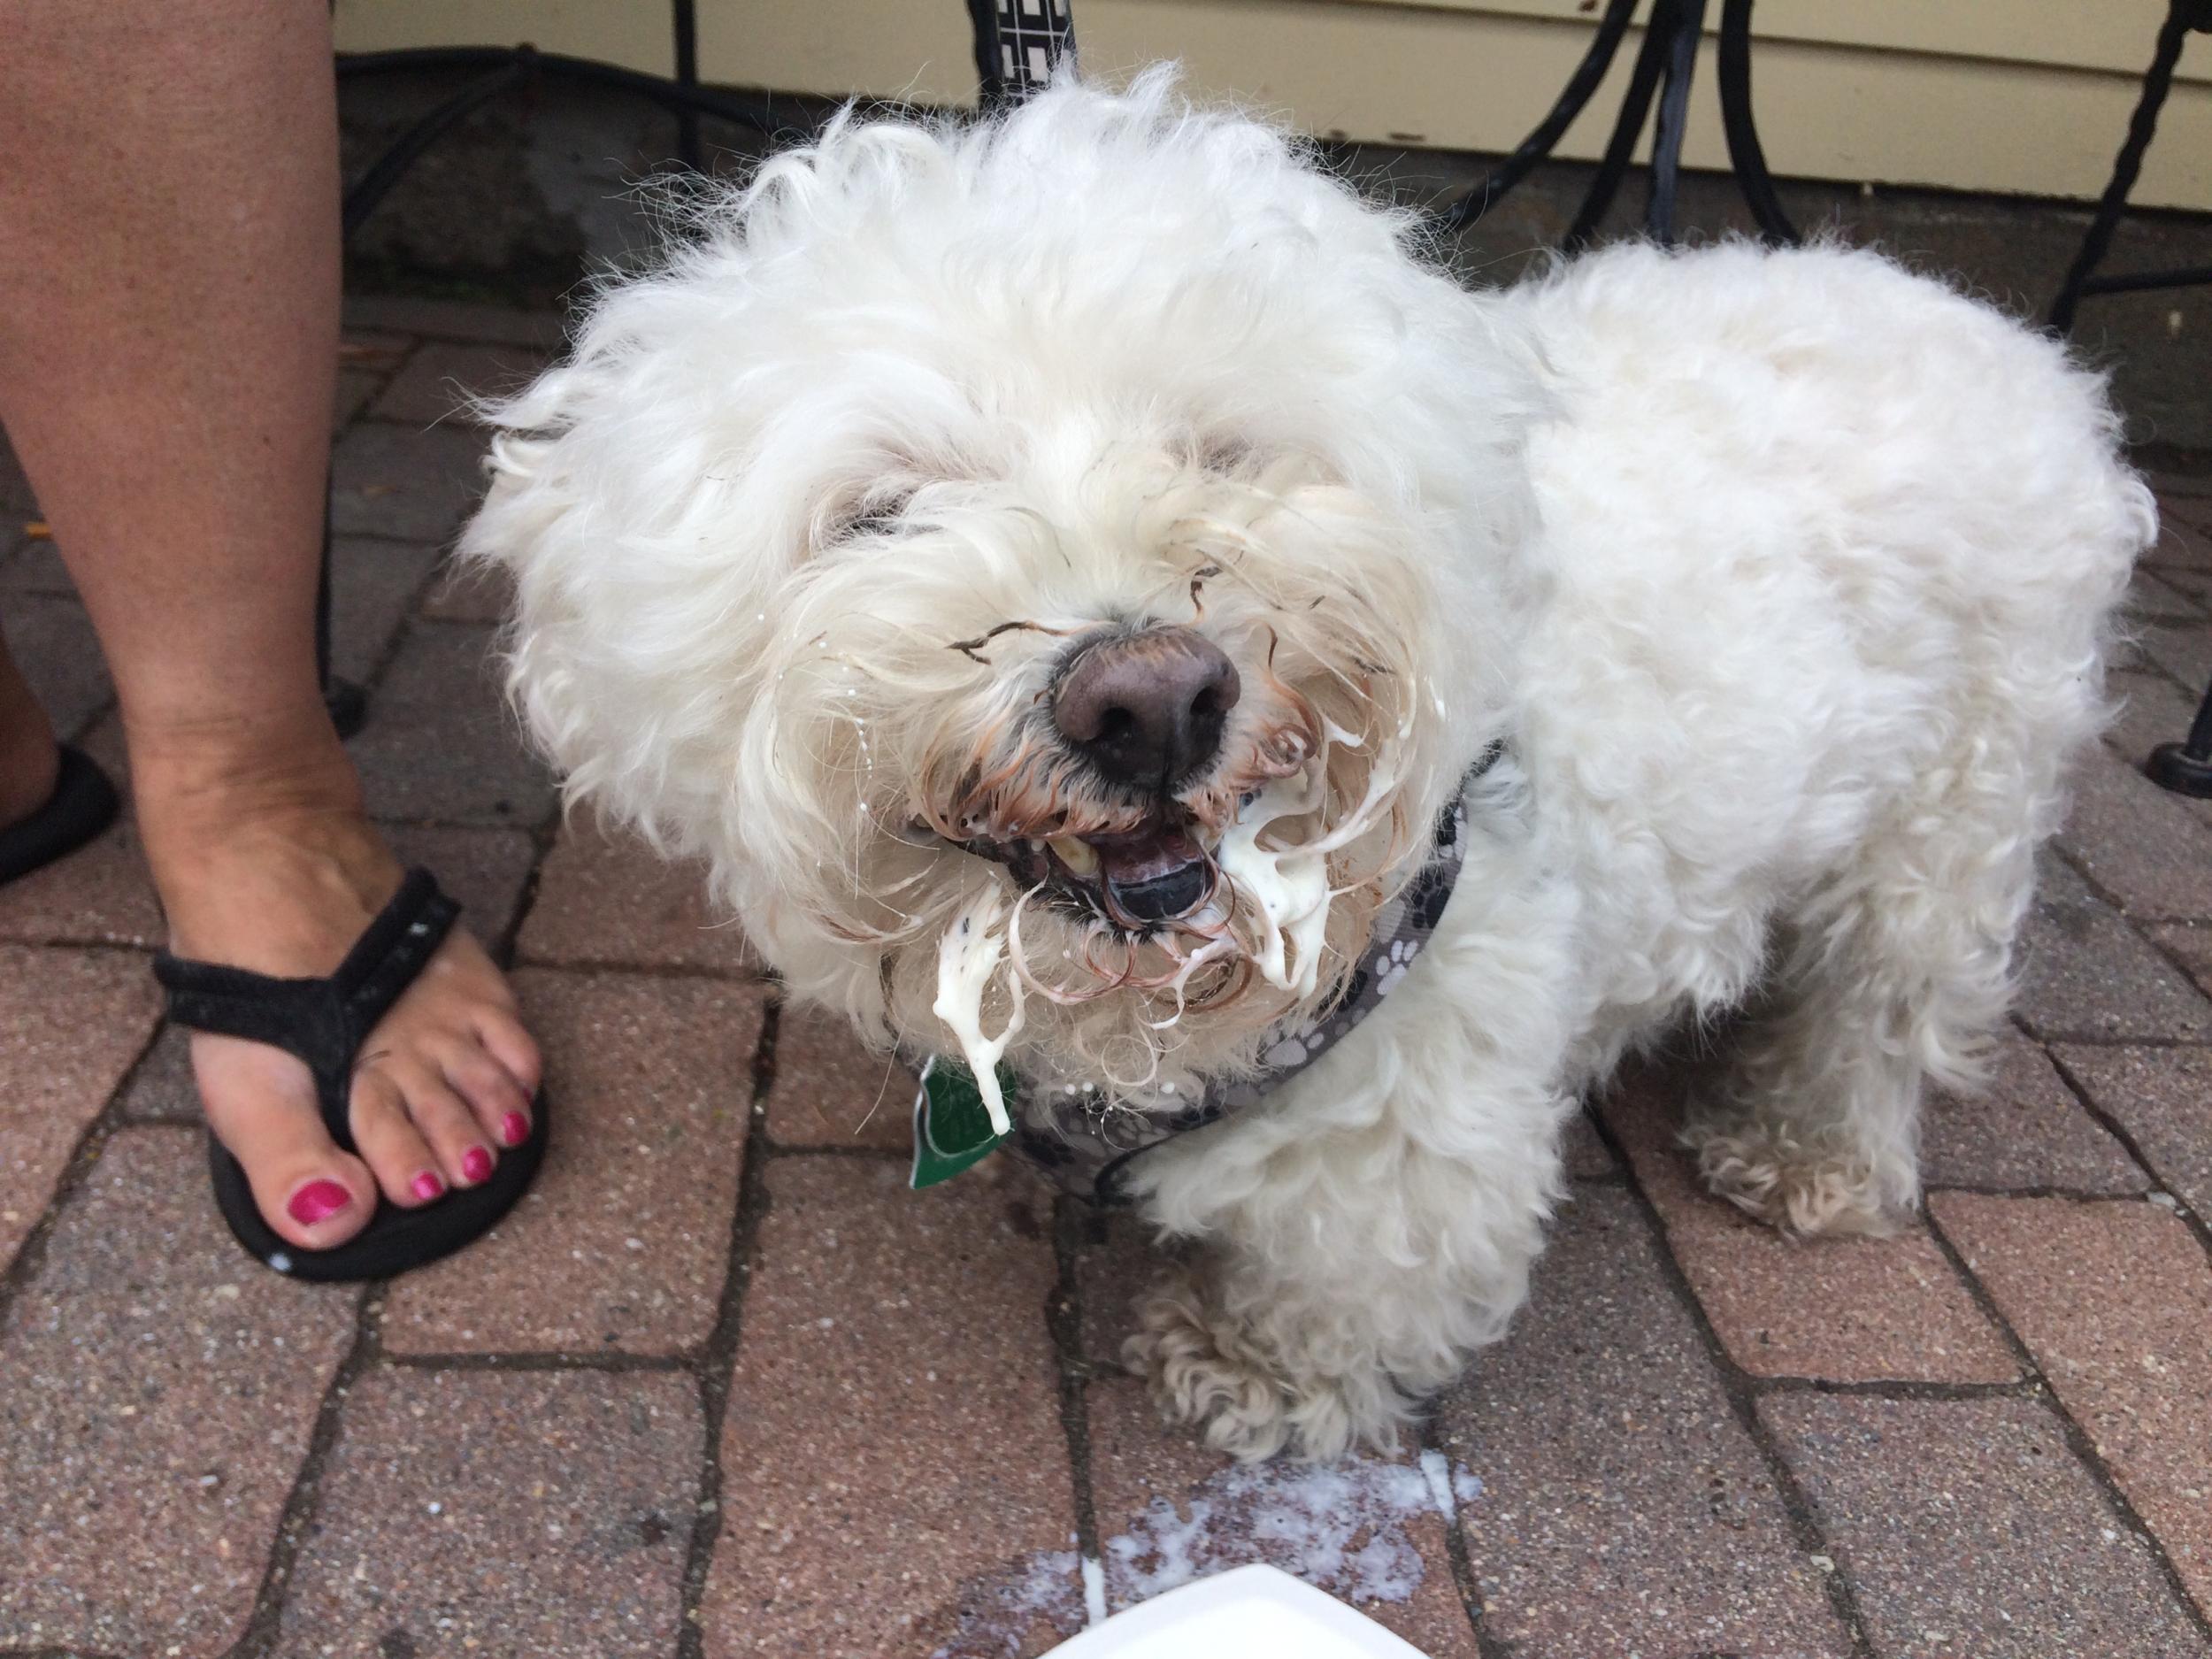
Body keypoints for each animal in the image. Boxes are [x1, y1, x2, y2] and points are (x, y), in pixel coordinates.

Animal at [462, 71, 2141, 1460]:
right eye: (883, 511)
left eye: (1220, 451)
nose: (1150, 700)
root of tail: (2002, 332)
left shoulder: (1409, 1134)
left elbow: (1352, 1284)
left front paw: (1254, 1375)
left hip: (1951, 813)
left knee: (1885, 1006)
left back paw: (1808, 1157)